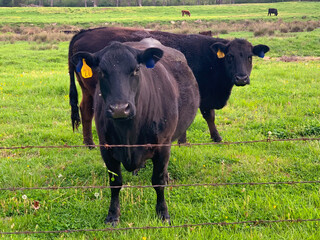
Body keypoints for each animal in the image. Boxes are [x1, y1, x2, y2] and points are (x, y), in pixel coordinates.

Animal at [69, 26, 268, 146]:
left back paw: (89, 144)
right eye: (230, 56)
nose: (241, 78)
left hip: (87, 91)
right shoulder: (202, 94)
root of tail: (85, 31)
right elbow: (208, 115)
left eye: (249, 57)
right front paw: (206, 139)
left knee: (85, 110)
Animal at [71, 38, 199, 224]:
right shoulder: (106, 148)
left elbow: (158, 180)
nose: (119, 108)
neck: (128, 133)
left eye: (136, 70)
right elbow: (115, 182)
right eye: (101, 71)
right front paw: (113, 215)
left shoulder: (162, 145)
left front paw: (163, 213)